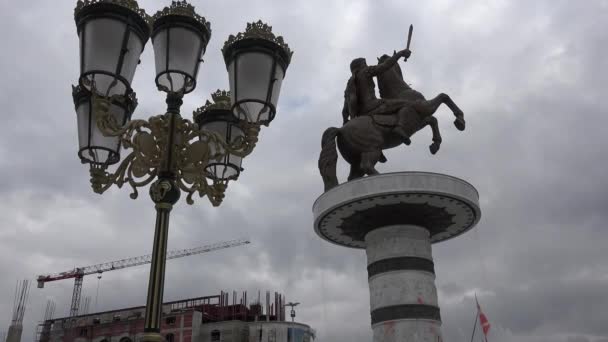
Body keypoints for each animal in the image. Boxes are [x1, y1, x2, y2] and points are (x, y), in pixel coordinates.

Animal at [318, 54, 466, 191]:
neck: (401, 91)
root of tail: (341, 130)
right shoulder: (425, 108)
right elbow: (443, 97)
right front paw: (460, 121)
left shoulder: (419, 122)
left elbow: (433, 120)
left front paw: (435, 145)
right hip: (372, 149)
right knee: (366, 166)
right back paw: (381, 179)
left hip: (355, 159)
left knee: (354, 175)